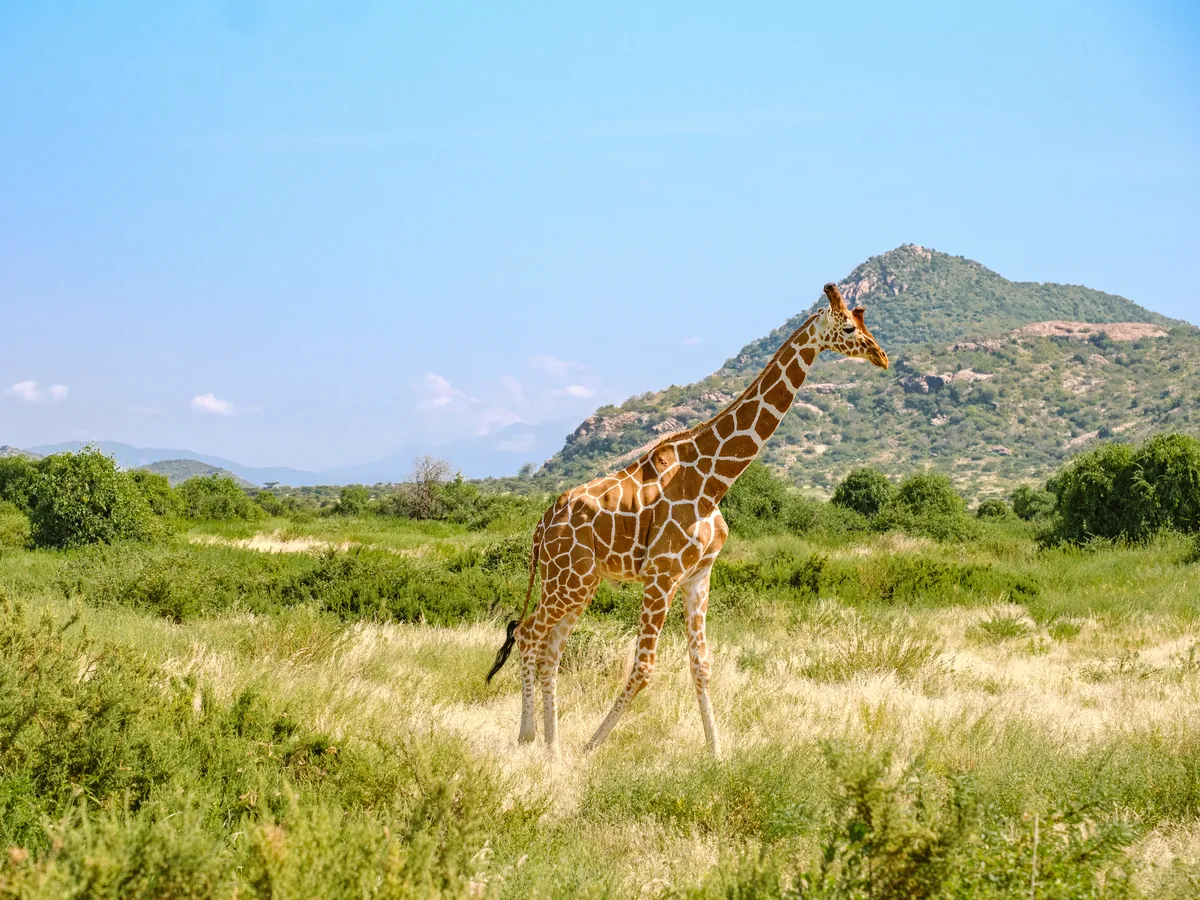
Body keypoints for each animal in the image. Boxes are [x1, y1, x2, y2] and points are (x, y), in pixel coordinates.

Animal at [487, 282, 892, 753]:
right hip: (565, 580)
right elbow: (644, 667)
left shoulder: (699, 575)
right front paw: (592, 746)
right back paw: (530, 737)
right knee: (529, 636)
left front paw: (717, 753)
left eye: (864, 323)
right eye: (848, 327)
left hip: (581, 583)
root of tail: (540, 525)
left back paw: (553, 746)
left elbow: (702, 663)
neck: (714, 480)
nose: (881, 356)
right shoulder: (661, 575)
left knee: (549, 647)